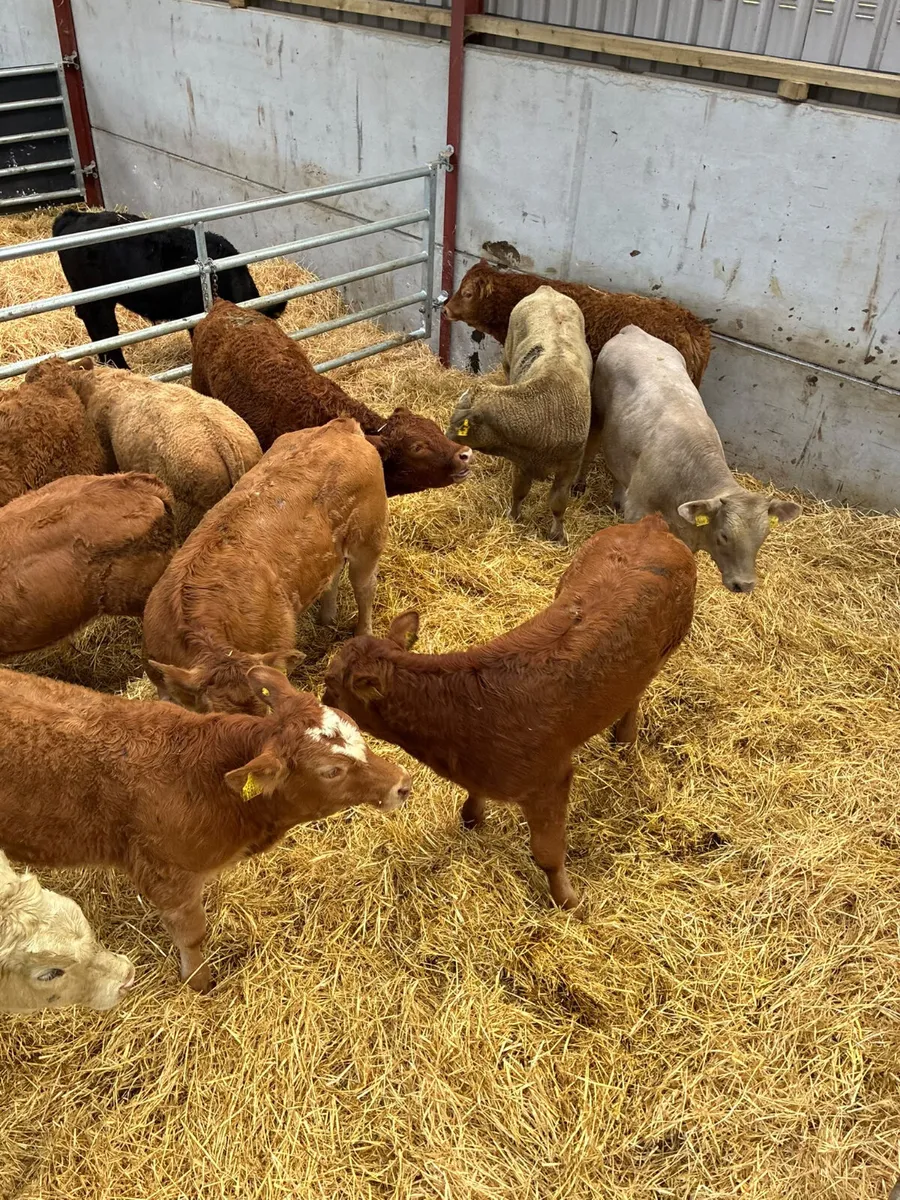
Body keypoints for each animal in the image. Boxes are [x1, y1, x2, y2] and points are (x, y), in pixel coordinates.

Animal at [0, 666, 411, 991]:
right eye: (331, 771)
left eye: (356, 728)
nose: (401, 784)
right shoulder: (167, 874)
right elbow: (193, 935)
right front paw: (199, 983)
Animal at [143, 417, 388, 716]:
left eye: (268, 710)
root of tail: (338, 425)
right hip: (332, 549)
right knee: (331, 577)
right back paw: (326, 618)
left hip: (368, 539)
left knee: (364, 588)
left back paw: (363, 634)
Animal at [323, 515, 696, 910]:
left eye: (330, 680)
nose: (322, 701)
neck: (461, 713)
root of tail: (650, 525)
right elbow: (471, 804)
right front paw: (472, 821)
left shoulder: (550, 779)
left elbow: (548, 853)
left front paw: (568, 901)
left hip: (670, 645)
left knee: (639, 691)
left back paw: (624, 738)